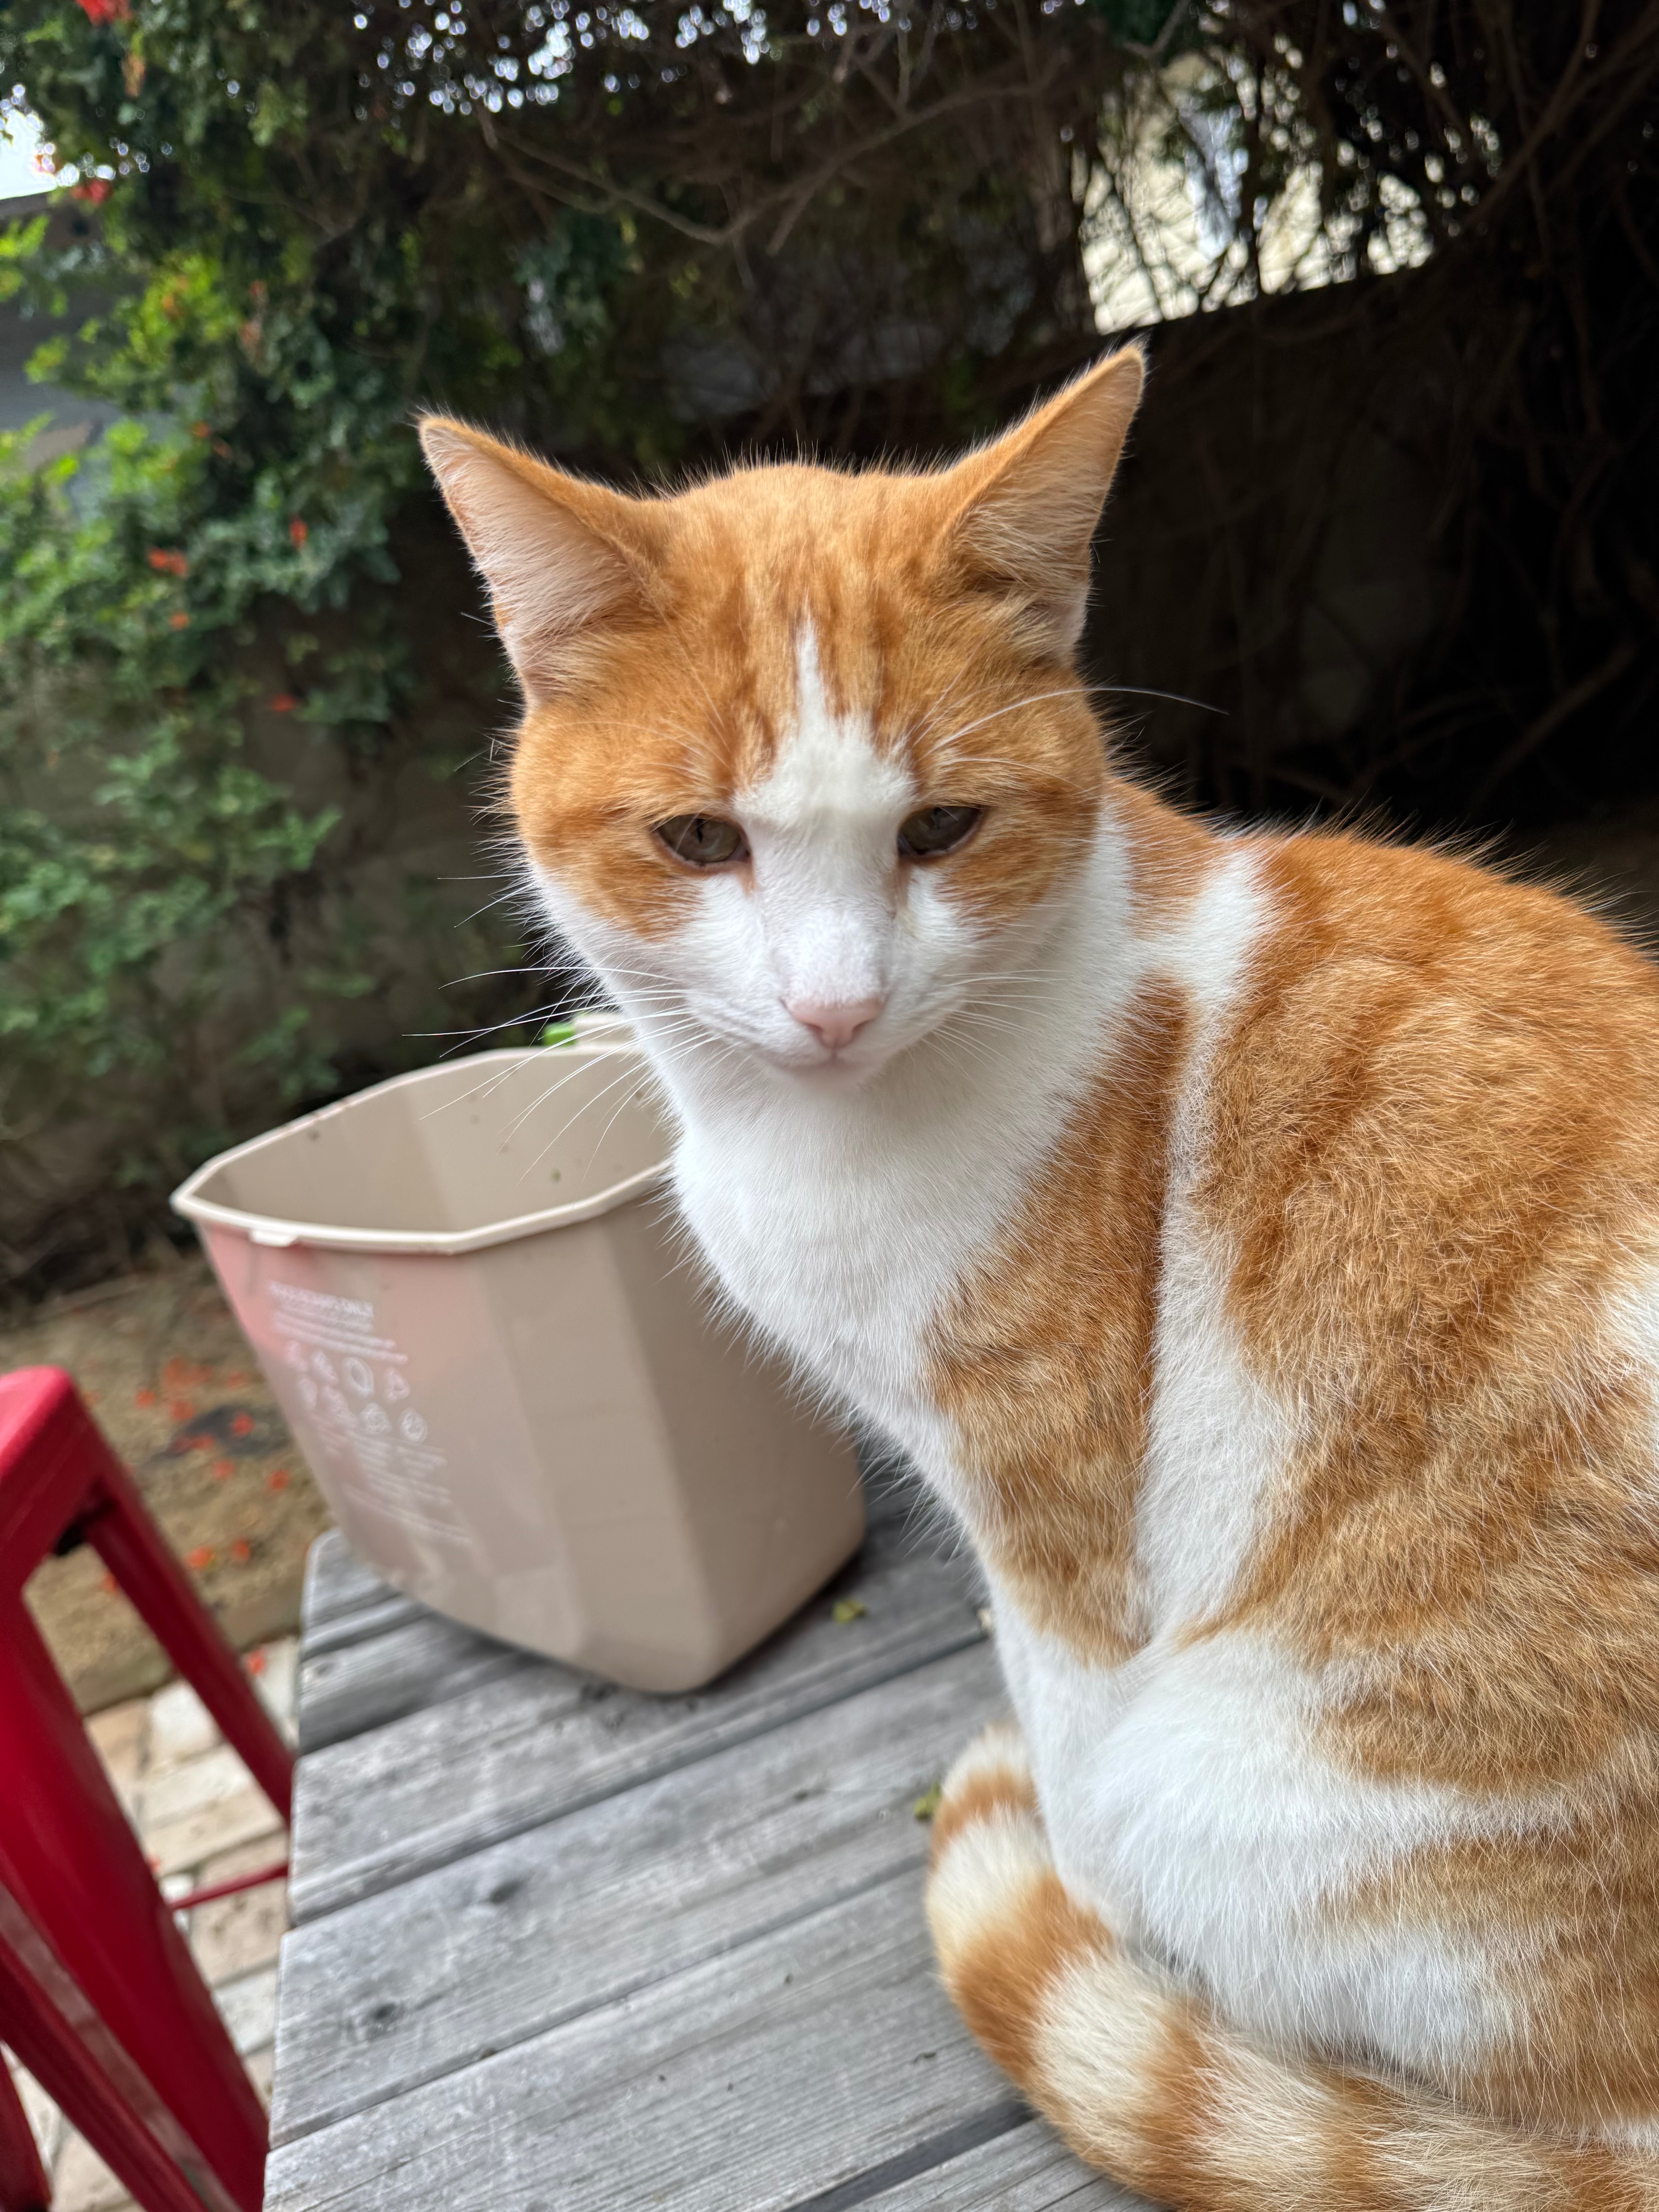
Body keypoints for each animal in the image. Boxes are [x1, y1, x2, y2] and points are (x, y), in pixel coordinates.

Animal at [421, 350, 1659, 2210]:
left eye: (940, 830)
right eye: (700, 840)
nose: (835, 1005)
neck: (805, 1137)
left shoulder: (1051, 1501)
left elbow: (1057, 1725)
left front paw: (1073, 1914)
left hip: (1252, 1781)